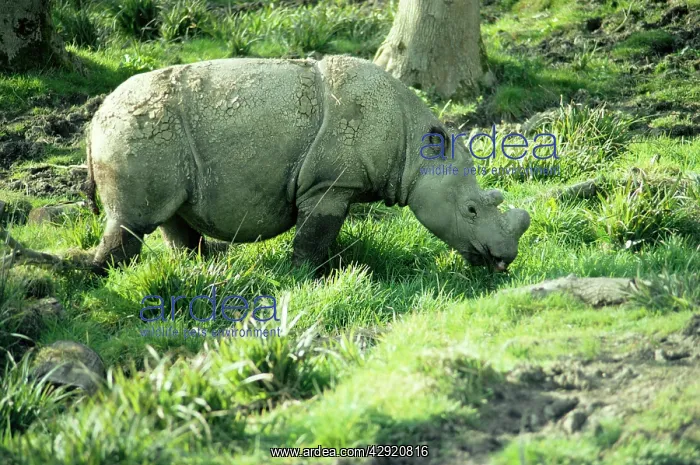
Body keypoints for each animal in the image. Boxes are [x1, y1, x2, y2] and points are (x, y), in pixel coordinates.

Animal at [86, 55, 530, 274]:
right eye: (471, 210)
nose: (504, 258)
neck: (414, 151)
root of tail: (95, 119)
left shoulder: (337, 184)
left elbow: (324, 235)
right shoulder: (329, 183)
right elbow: (314, 234)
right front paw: (306, 276)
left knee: (171, 214)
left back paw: (200, 269)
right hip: (137, 132)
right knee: (132, 220)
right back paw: (108, 278)